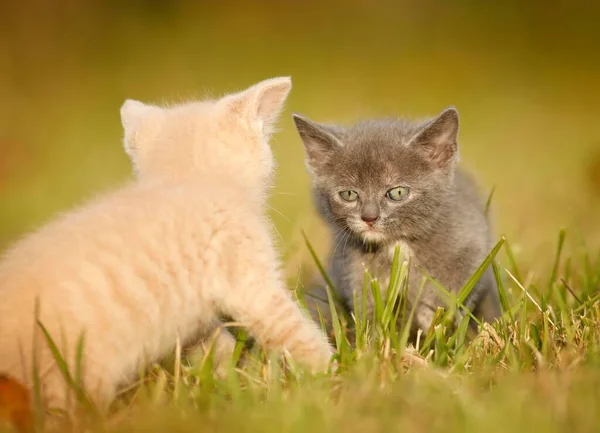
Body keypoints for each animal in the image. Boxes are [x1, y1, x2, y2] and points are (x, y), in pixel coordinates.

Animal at [0, 77, 332, 412]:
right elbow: (294, 332)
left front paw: (240, 379)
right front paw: (333, 374)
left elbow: (214, 350)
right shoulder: (248, 276)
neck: (186, 182)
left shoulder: (194, 320)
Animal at [292, 107, 500, 338]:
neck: (398, 245)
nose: (369, 217)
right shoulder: (354, 270)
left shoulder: (469, 251)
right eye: (348, 194)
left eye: (397, 192)